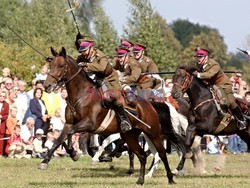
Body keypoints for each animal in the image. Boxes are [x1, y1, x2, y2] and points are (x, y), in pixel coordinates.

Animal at [39, 47, 184, 185]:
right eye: (50, 64)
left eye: (61, 65)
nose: (47, 85)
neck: (81, 95)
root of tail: (151, 104)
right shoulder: (69, 123)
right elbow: (59, 140)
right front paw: (46, 161)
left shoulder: (89, 124)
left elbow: (71, 133)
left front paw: (74, 153)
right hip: (130, 136)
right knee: (142, 155)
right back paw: (140, 180)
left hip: (153, 133)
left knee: (162, 153)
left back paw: (170, 178)